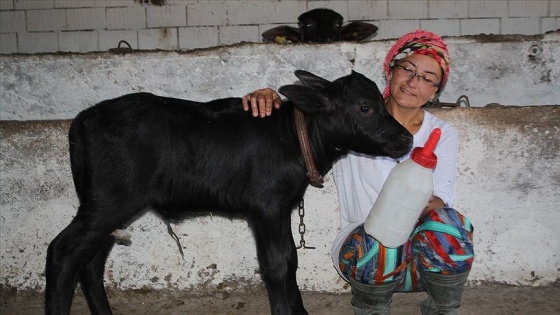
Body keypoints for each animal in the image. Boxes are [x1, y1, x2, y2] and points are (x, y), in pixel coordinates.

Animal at [44, 69, 412, 315]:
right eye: (364, 107)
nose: (406, 138)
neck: (292, 138)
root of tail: (83, 118)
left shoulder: (279, 208)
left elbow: (290, 260)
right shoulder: (266, 206)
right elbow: (277, 264)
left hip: (106, 207)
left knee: (90, 262)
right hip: (108, 203)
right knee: (64, 251)